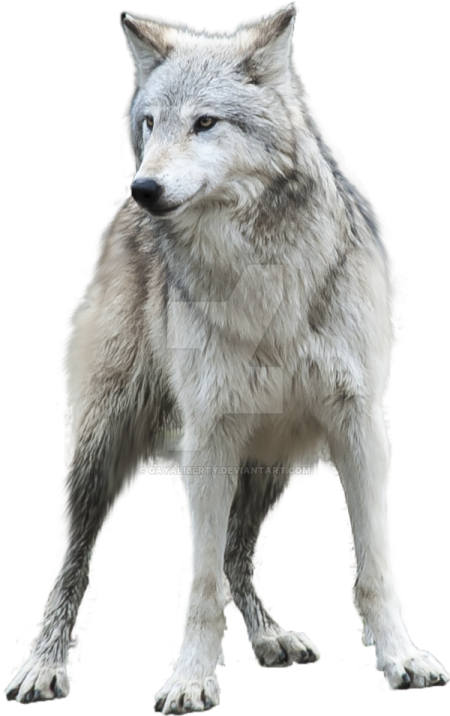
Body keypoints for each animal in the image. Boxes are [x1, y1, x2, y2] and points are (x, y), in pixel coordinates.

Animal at [5, 4, 449, 711]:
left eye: (206, 122)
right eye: (151, 123)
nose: (145, 187)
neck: (264, 278)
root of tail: (118, 224)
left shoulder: (359, 426)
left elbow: (376, 567)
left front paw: (401, 659)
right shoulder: (208, 435)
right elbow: (202, 584)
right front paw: (190, 680)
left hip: (269, 462)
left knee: (241, 552)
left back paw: (270, 639)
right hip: (103, 447)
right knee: (73, 559)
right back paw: (43, 667)